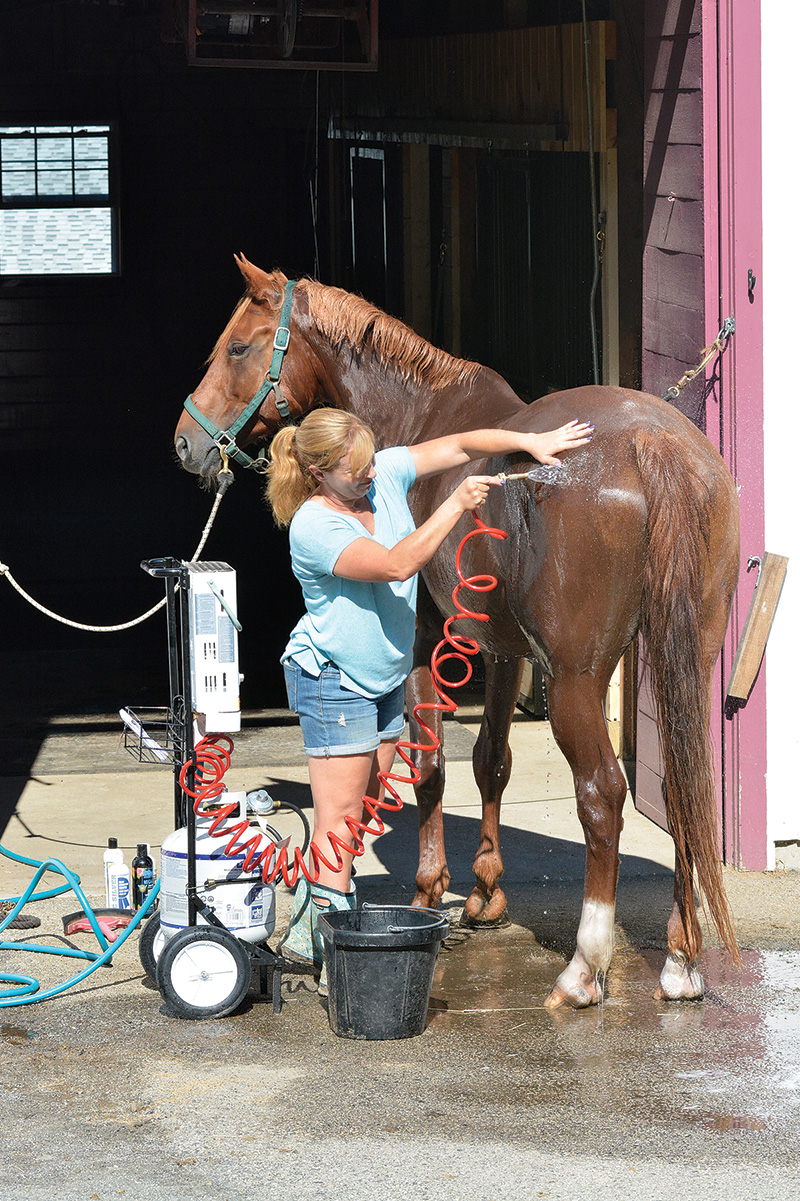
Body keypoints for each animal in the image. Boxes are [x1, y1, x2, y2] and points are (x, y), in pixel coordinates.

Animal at [171, 258, 739, 1008]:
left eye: (239, 347)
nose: (186, 441)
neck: (419, 417)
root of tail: (654, 440)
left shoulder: (425, 639)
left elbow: (432, 763)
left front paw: (428, 888)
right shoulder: (500, 649)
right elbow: (491, 758)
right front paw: (486, 892)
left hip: (579, 678)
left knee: (602, 795)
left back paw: (584, 968)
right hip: (684, 661)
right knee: (681, 788)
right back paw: (680, 957)